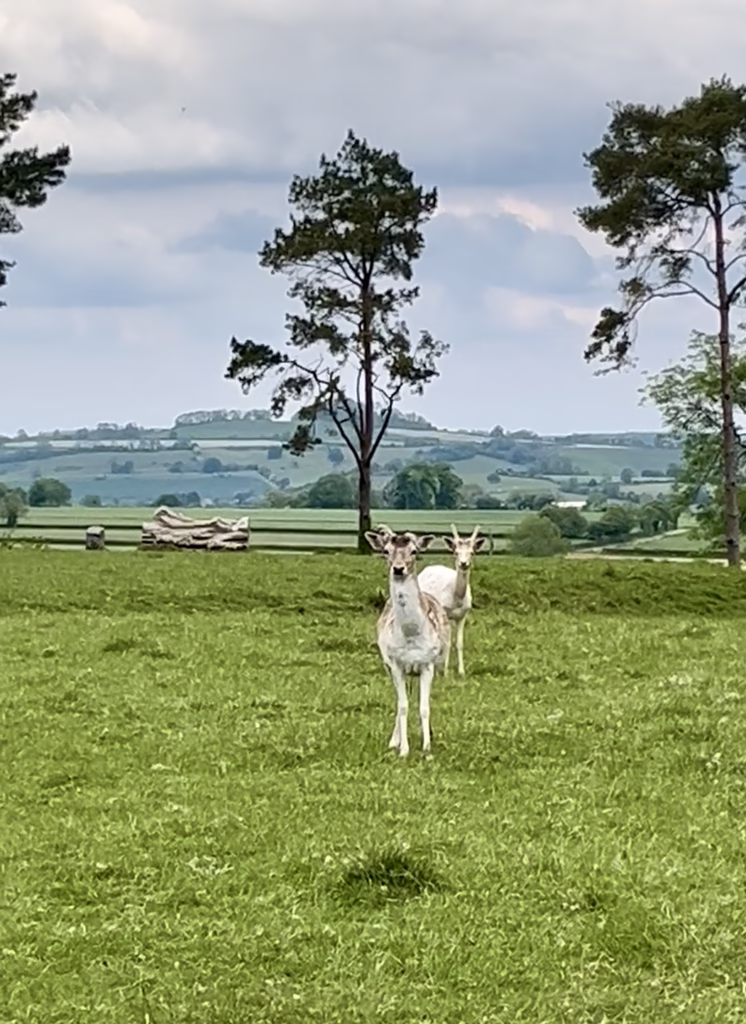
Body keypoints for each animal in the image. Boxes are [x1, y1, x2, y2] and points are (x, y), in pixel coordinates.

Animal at [365, 527, 451, 757]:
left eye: (414, 551)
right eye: (386, 550)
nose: (398, 568)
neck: (412, 635)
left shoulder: (428, 664)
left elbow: (424, 707)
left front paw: (427, 748)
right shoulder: (396, 664)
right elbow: (402, 705)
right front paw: (403, 749)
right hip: (391, 667)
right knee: (401, 701)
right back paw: (393, 742)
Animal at [417, 524, 485, 677]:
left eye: (472, 552)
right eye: (456, 552)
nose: (463, 564)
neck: (456, 599)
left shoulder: (463, 615)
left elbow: (459, 643)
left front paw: (461, 671)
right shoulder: (445, 612)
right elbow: (447, 642)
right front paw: (445, 672)